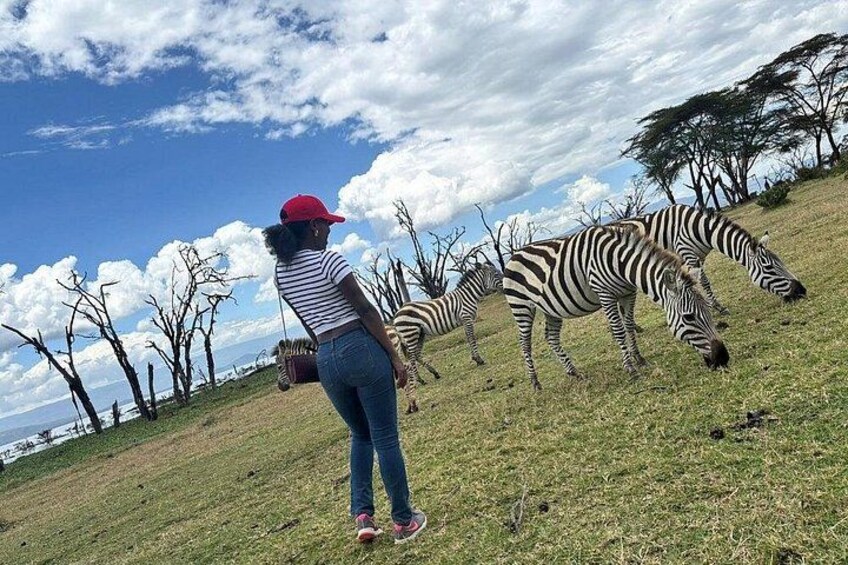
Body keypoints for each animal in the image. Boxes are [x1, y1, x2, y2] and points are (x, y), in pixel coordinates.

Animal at [392, 262, 503, 413]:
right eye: (497, 274)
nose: (507, 283)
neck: (468, 296)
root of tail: (396, 315)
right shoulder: (467, 318)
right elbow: (472, 338)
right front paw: (479, 359)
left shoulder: (465, 320)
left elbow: (469, 338)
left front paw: (475, 358)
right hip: (410, 334)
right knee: (411, 358)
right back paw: (420, 379)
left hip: (420, 333)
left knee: (416, 355)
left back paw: (434, 373)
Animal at [503, 225, 729, 390]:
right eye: (689, 317)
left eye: (709, 312)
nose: (723, 358)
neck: (620, 263)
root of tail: (514, 254)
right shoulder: (605, 295)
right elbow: (619, 330)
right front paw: (630, 369)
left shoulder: (629, 294)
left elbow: (628, 325)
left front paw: (639, 359)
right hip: (521, 306)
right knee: (524, 343)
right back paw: (535, 382)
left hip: (551, 307)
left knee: (551, 337)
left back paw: (574, 372)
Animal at [614, 204, 806, 314]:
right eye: (769, 269)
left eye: (781, 264)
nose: (802, 291)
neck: (701, 230)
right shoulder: (688, 254)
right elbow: (704, 282)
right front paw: (718, 308)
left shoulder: (697, 258)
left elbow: (698, 280)